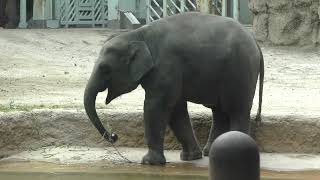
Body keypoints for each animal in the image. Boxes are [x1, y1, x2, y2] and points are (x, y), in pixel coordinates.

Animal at [84, 11, 264, 165]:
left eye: (105, 69)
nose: (114, 136)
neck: (138, 34)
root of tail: (256, 43)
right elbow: (176, 110)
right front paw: (190, 158)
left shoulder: (165, 67)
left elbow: (156, 106)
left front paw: (149, 162)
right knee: (219, 111)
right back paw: (211, 152)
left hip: (240, 71)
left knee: (237, 110)